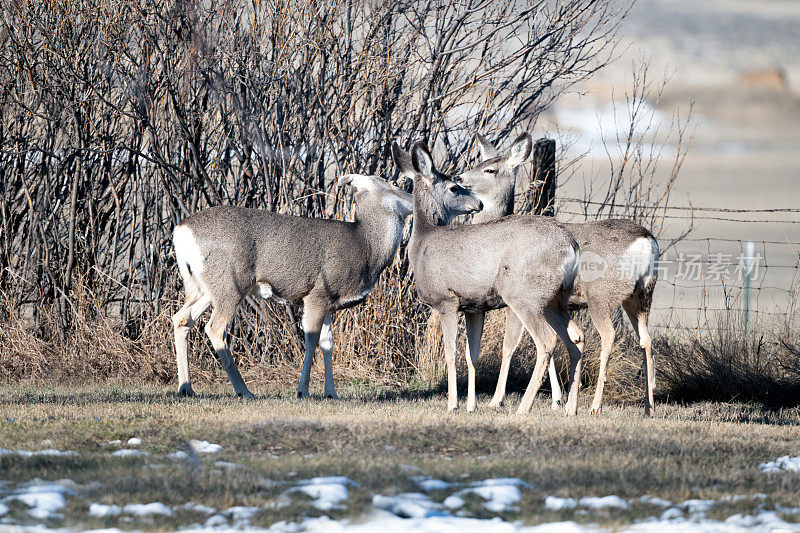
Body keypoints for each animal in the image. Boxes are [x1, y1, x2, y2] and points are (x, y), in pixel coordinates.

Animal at [172, 171, 478, 400]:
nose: (412, 201)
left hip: (201, 286)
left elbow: (328, 344)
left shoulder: (332, 303)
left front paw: (332, 392)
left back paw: (187, 388)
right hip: (230, 282)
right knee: (214, 328)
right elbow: (310, 340)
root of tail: (181, 230)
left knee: (181, 318)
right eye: (390, 183)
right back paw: (243, 391)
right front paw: (303, 391)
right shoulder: (317, 293)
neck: (364, 246)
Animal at [396, 140, 584, 416]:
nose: (478, 204)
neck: (422, 243)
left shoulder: (447, 300)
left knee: (547, 341)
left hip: (523, 295)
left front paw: (453, 404)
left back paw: (524, 408)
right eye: (454, 187)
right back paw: (571, 408)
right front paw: (471, 406)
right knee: (575, 337)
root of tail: (570, 246)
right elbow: (471, 355)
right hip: (555, 299)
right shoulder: (474, 307)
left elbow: (450, 353)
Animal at [460, 131, 660, 414]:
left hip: (601, 294)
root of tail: (645, 240)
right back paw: (648, 405)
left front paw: (496, 399)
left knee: (609, 336)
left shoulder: (517, 301)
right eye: (480, 162)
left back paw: (595, 405)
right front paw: (558, 399)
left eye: (490, 169)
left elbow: (510, 345)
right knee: (646, 340)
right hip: (640, 295)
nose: (459, 178)